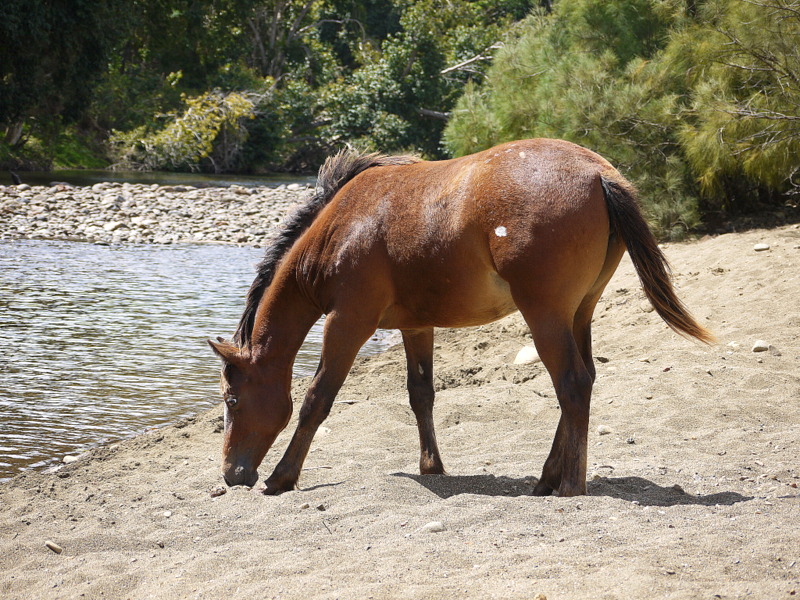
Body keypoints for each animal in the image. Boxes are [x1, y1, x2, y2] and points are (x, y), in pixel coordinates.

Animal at [208, 137, 712, 496]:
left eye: (232, 401)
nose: (232, 473)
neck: (343, 224)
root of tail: (598, 172)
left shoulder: (347, 322)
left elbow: (316, 399)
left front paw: (282, 477)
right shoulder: (415, 326)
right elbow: (421, 395)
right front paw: (431, 466)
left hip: (545, 315)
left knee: (572, 384)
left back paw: (570, 484)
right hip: (579, 313)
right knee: (583, 380)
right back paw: (548, 478)